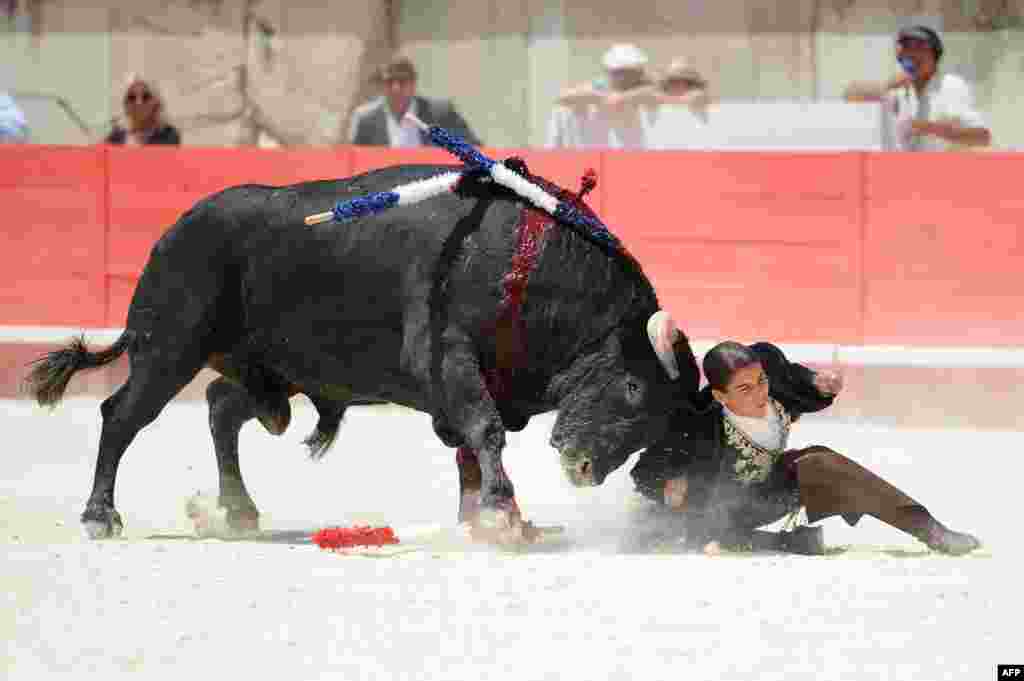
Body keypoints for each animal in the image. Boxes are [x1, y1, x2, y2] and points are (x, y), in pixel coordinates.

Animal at [25, 163, 696, 536]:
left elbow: (470, 448)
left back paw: (239, 510)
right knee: (123, 416)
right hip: (167, 349)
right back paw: (100, 516)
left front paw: (476, 516)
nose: (584, 471)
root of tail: (172, 232)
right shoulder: (448, 358)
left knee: (221, 406)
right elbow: (484, 430)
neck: (526, 264)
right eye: (632, 386)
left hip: (275, 376)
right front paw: (503, 513)